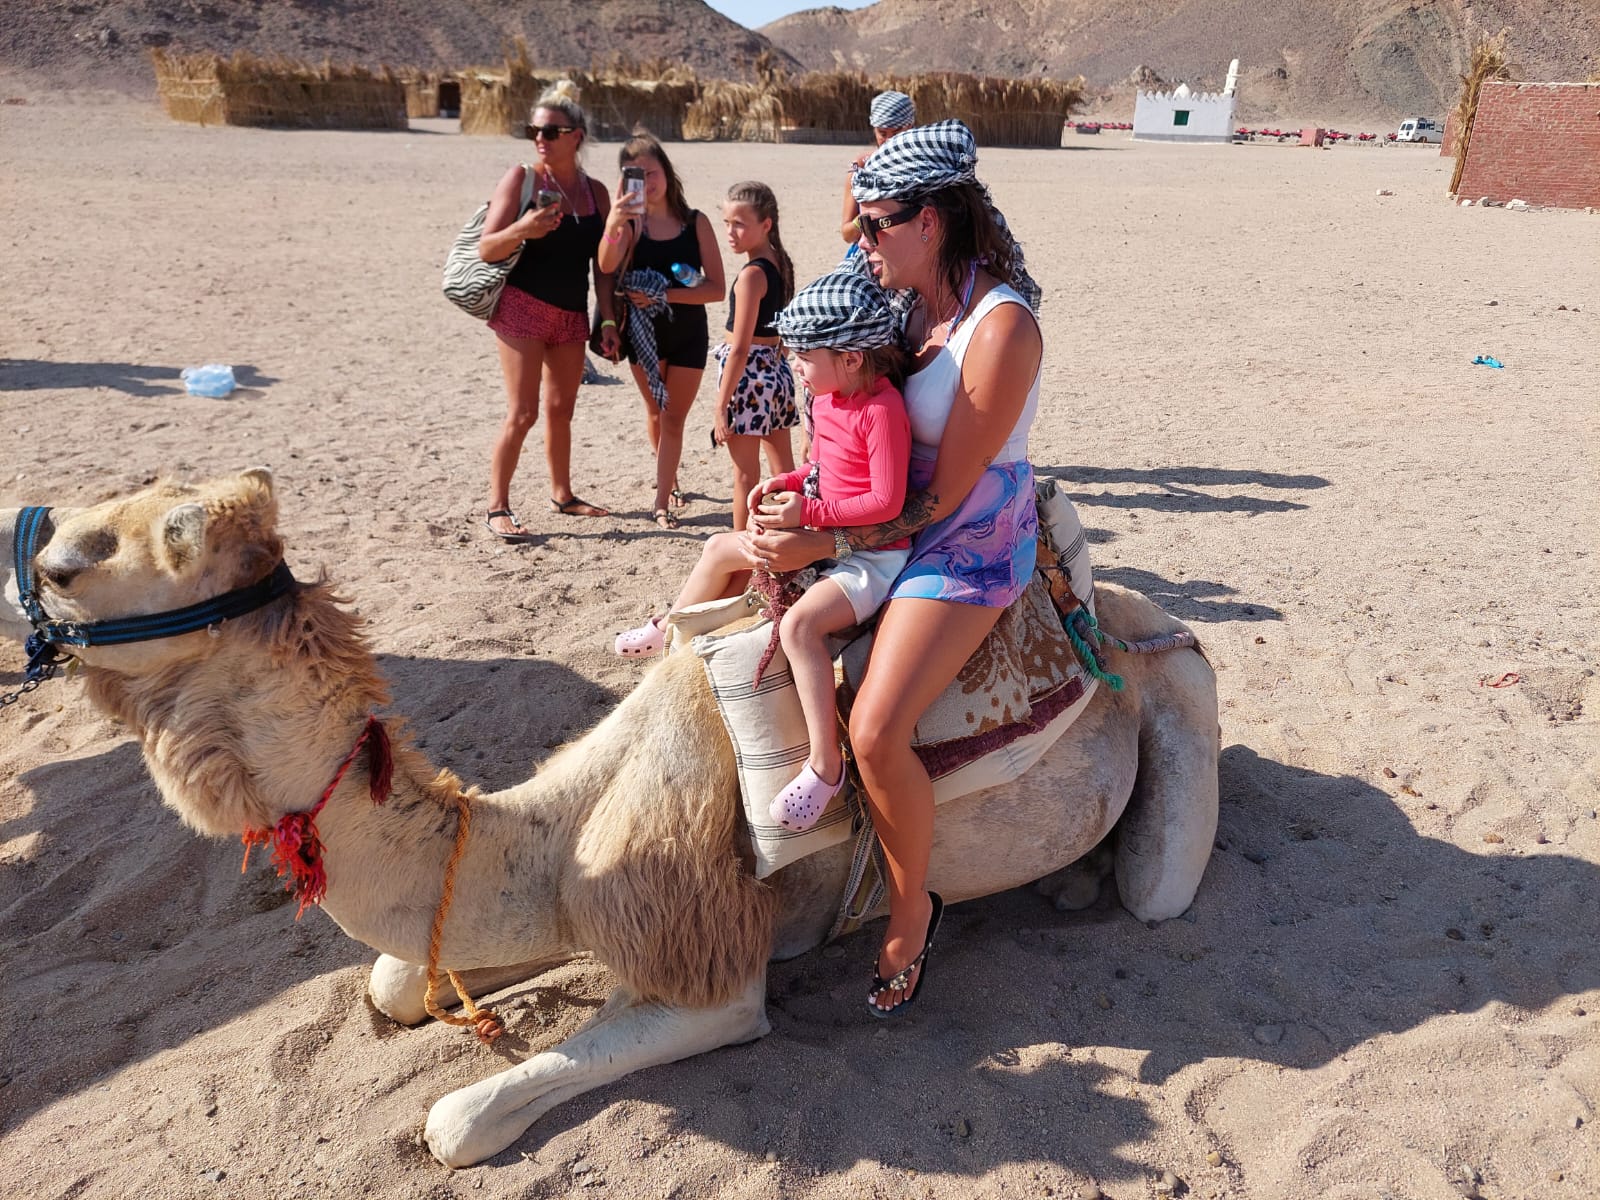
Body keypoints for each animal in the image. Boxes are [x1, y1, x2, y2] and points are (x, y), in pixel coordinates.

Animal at [0, 469, 1219, 1169]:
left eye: (71, 565)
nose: (32, 553)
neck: (551, 833)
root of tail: (1124, 610)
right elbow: (397, 982)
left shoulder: (714, 975)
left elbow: (457, 1122)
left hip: (1184, 709)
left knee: (1158, 891)